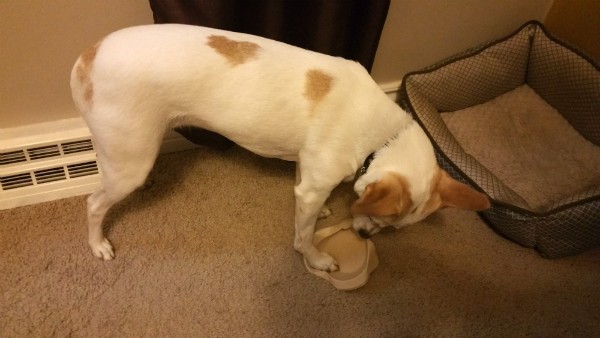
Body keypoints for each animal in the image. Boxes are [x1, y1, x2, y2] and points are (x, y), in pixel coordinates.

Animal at [72, 23, 490, 272]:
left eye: (391, 228)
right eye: (382, 221)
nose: (365, 237)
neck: (383, 134)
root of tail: (87, 56)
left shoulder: (309, 172)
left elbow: (306, 195)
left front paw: (325, 212)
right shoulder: (315, 186)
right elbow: (303, 234)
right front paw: (317, 258)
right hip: (131, 160)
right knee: (94, 204)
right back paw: (97, 244)